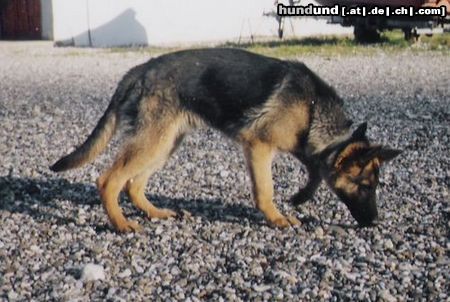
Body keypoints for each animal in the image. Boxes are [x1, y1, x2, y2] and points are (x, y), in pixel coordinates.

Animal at [51, 48, 402, 231]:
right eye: (365, 186)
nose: (375, 222)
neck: (312, 109)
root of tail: (138, 70)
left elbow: (315, 172)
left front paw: (301, 196)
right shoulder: (258, 147)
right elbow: (265, 190)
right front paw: (277, 218)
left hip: (165, 143)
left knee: (133, 185)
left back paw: (156, 214)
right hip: (154, 142)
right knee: (108, 180)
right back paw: (121, 223)